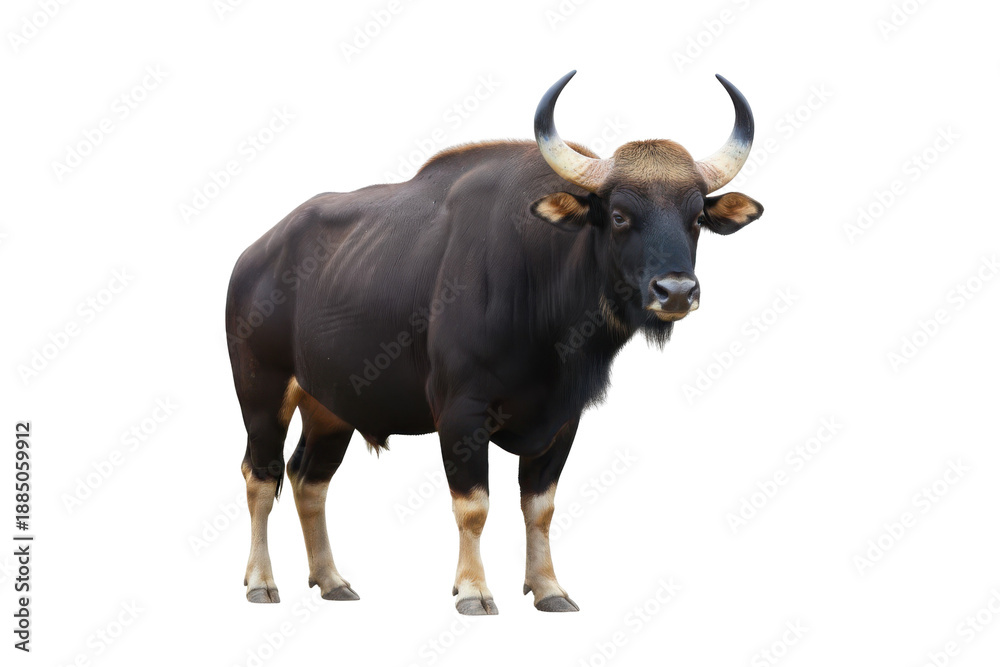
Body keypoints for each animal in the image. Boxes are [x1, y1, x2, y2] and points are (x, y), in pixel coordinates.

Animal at [226, 70, 764, 615]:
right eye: (618, 214)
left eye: (696, 218)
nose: (676, 291)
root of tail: (253, 257)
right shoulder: (460, 412)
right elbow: (474, 507)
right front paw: (473, 589)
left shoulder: (563, 419)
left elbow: (540, 507)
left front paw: (548, 588)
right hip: (261, 391)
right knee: (260, 476)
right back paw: (260, 582)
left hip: (330, 405)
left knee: (308, 478)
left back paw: (331, 579)